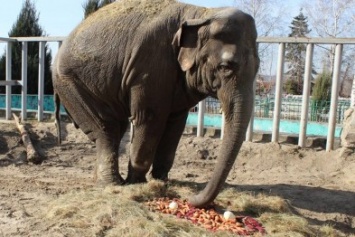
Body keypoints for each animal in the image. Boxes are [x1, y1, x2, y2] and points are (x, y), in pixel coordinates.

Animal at [52, 0, 258, 207]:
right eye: (225, 67)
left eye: (257, 68)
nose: (190, 198)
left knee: (117, 127)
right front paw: (137, 183)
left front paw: (161, 181)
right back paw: (111, 184)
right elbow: (150, 117)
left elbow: (176, 123)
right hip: (71, 84)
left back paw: (103, 179)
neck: (202, 14)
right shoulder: (150, 66)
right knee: (105, 128)